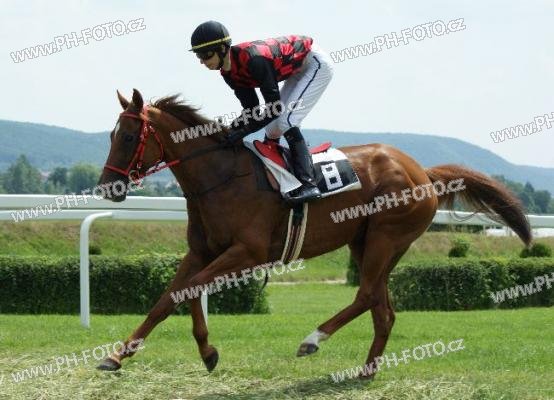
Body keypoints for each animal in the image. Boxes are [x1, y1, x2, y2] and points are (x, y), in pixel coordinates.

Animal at [96, 88, 531, 379]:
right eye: (112, 136)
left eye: (130, 137)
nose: (106, 188)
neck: (220, 177)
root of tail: (423, 173)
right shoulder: (202, 252)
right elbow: (166, 299)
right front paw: (119, 355)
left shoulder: (247, 252)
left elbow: (188, 291)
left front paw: (206, 349)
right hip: (368, 243)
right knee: (383, 308)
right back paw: (367, 370)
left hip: (386, 237)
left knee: (366, 295)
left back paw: (313, 339)